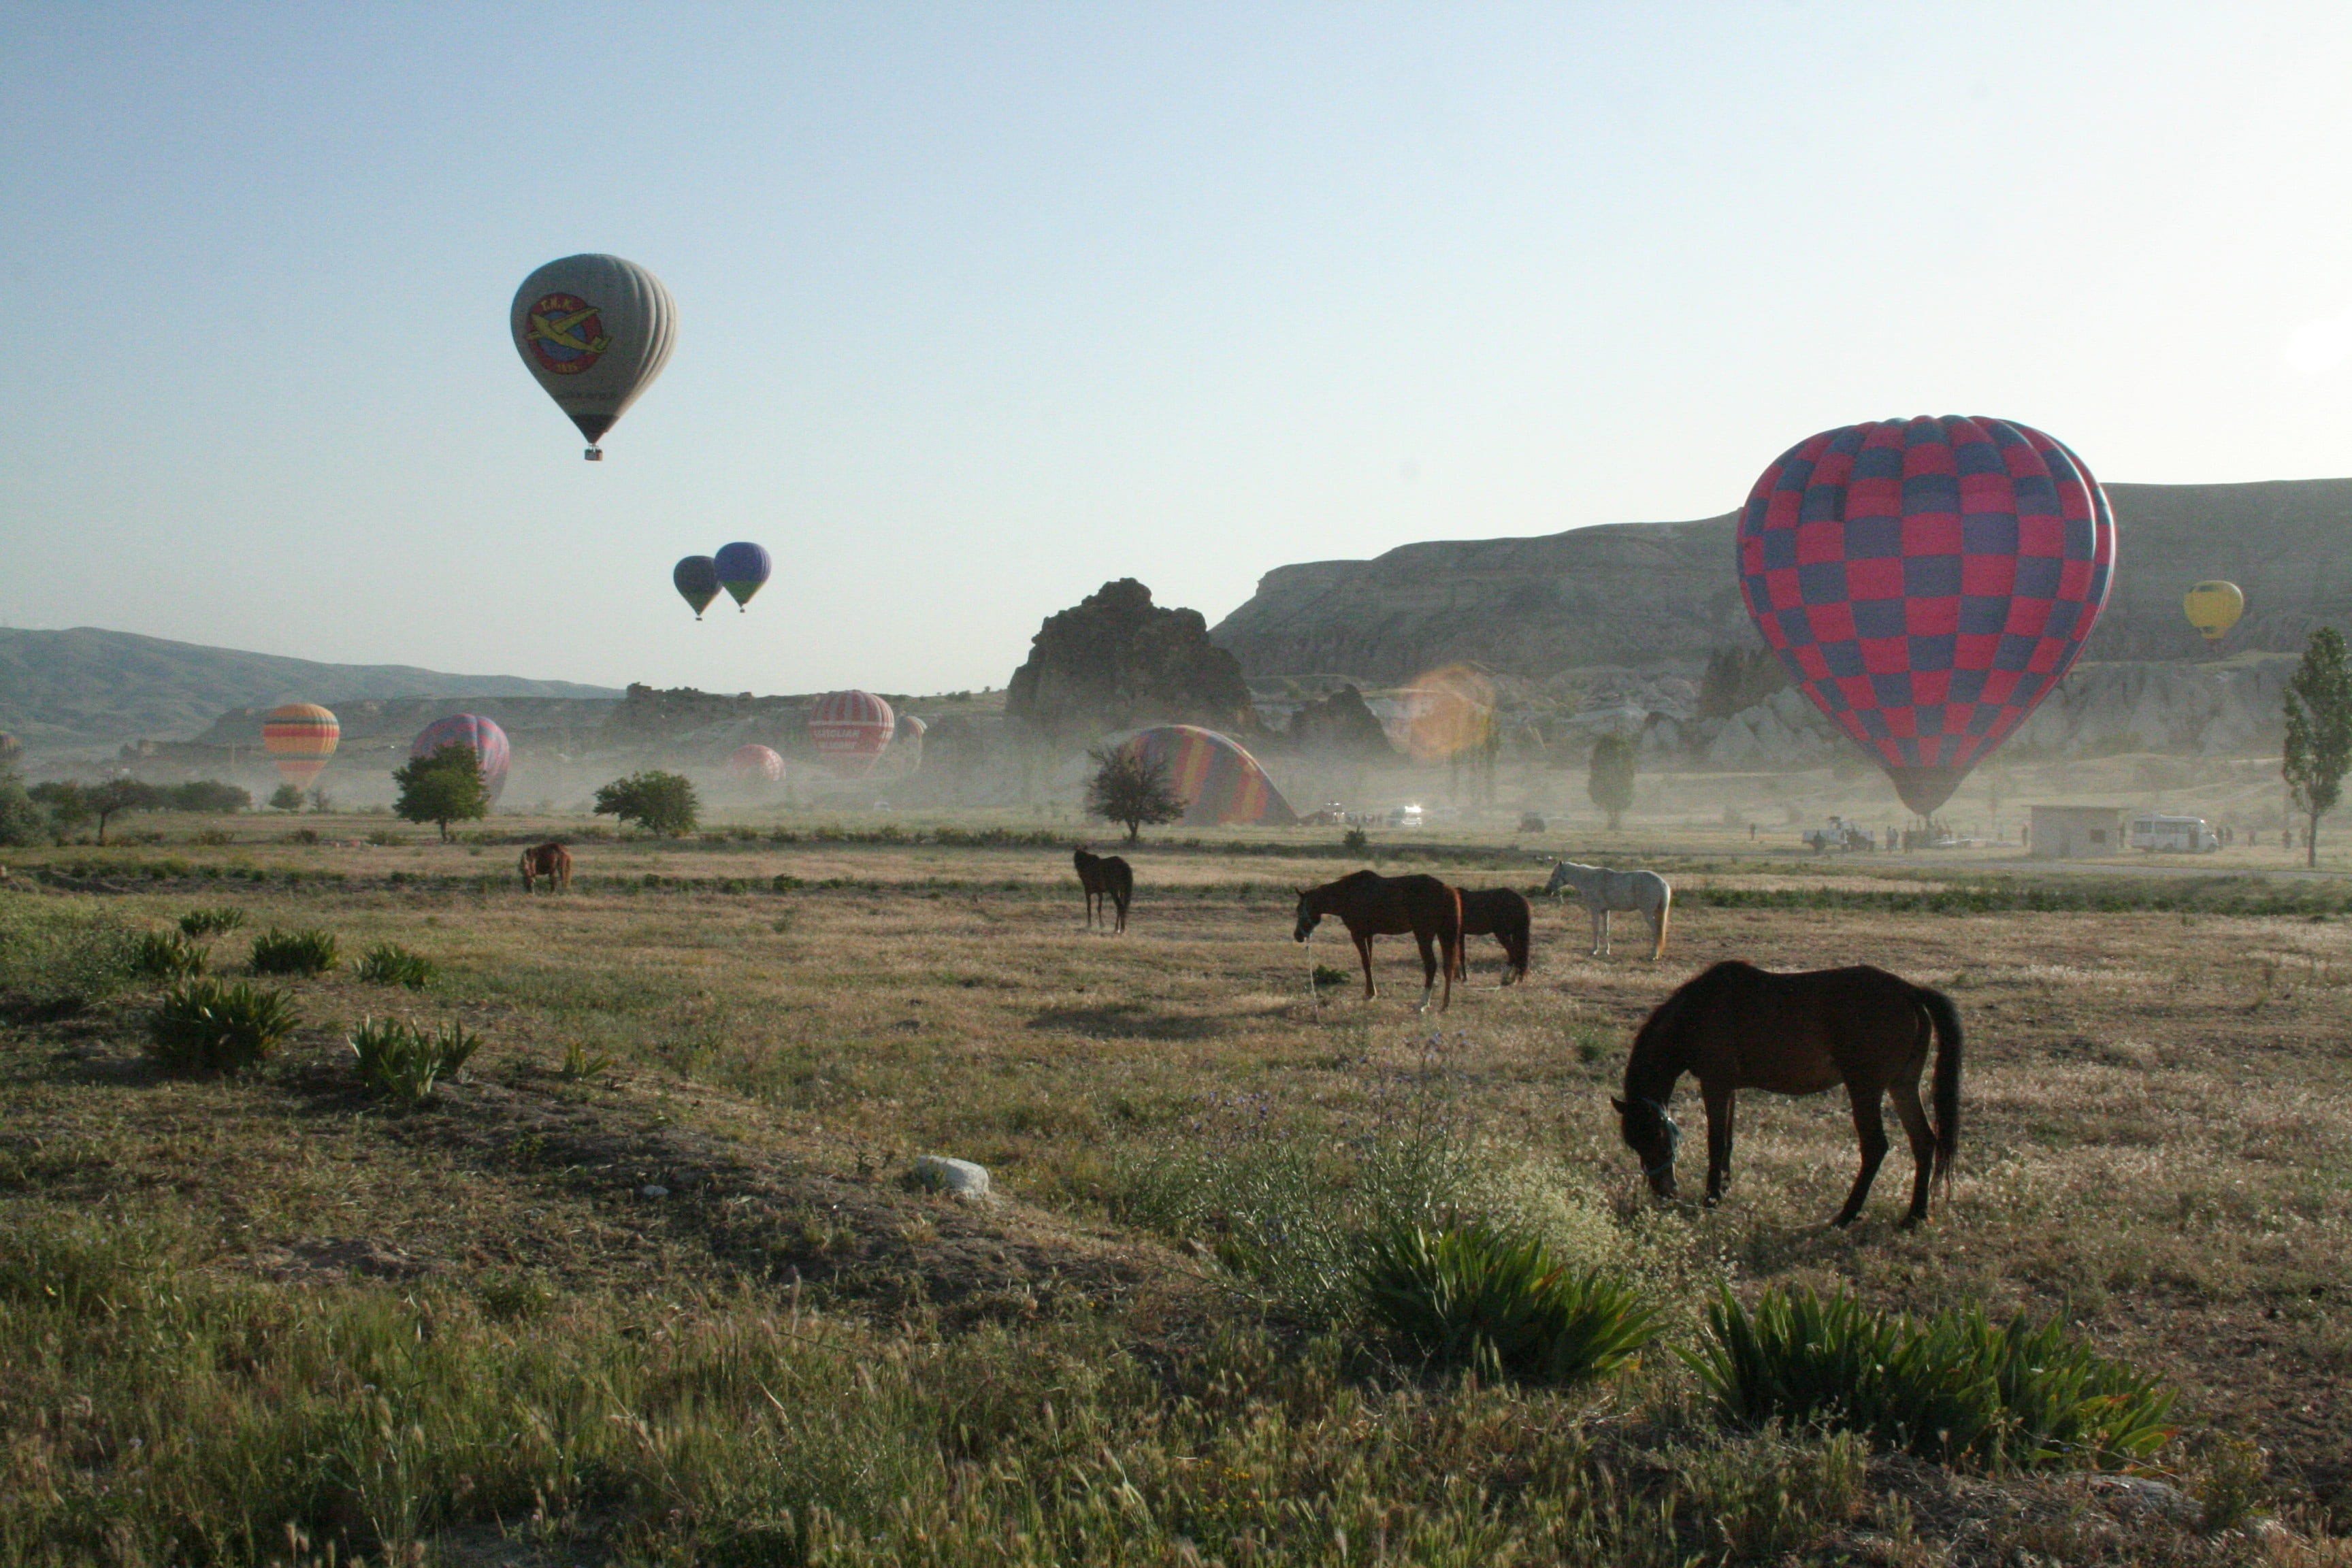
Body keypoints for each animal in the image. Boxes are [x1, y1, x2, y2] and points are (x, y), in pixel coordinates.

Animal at [1293, 870, 1461, 1012]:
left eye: (1299, 909)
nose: (1297, 936)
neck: (1348, 894)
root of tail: (1446, 890)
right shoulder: (1369, 935)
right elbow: (1370, 962)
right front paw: (1370, 992)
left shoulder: (1358, 934)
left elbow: (1365, 962)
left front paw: (1370, 994)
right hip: (1444, 934)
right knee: (1448, 967)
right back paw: (1445, 1005)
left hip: (1424, 936)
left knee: (1431, 966)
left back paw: (1423, 1003)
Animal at [1453, 888, 1532, 985]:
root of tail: (1522, 900)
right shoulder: (1461, 934)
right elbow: (1459, 955)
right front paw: (1460, 978)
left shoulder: (1458, 933)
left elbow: (1459, 955)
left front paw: (1461, 978)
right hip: (1515, 934)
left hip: (1502, 934)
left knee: (1514, 954)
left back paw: (1508, 978)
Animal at [1544, 860, 1672, 959]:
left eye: (1554, 874)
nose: (1547, 890)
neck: (1588, 879)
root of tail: (1662, 883)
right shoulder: (1605, 911)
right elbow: (1606, 929)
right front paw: (1607, 951)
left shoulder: (1595, 910)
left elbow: (1596, 929)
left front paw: (1594, 950)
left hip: (1648, 913)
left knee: (1656, 931)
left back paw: (1653, 955)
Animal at [1612, 961, 1962, 1229]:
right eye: (1634, 1144)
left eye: (1656, 1135)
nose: (1664, 1191)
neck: (1696, 1013)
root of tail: (1910, 991)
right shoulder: (1730, 1088)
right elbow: (1728, 1140)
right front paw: (1723, 1188)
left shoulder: (1715, 1084)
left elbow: (1716, 1141)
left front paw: (1710, 1198)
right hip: (1902, 1085)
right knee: (1923, 1141)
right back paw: (1915, 1215)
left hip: (1865, 1089)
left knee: (1876, 1147)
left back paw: (1846, 1216)